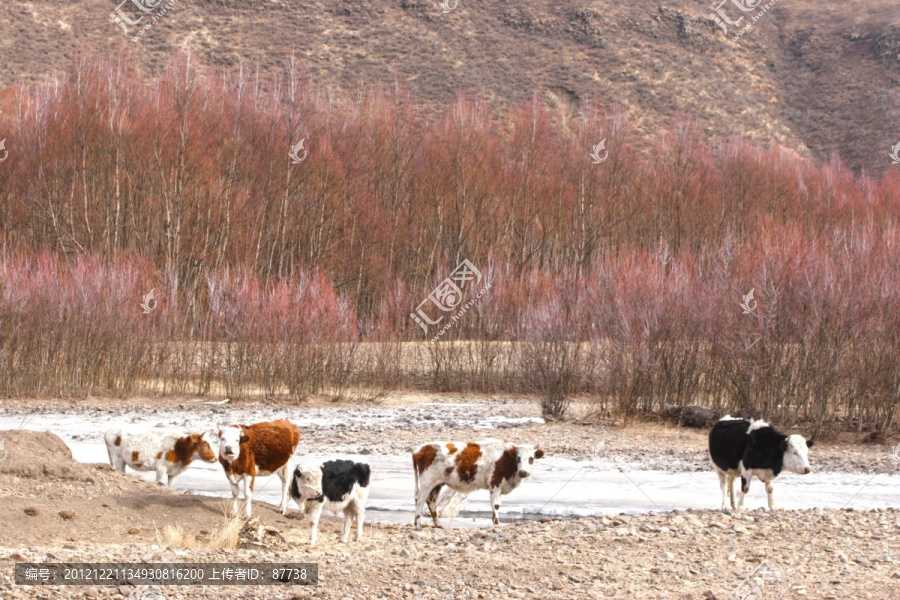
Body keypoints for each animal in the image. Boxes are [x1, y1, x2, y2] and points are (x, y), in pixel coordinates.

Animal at [412, 438, 544, 528]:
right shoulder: (495, 484)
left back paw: (438, 524)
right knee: (420, 500)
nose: (523, 472)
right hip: (427, 482)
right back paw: (418, 525)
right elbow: (496, 505)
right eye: (518, 458)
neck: (506, 459)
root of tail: (419, 450)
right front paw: (497, 523)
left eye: (531, 458)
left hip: (437, 484)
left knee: (431, 501)